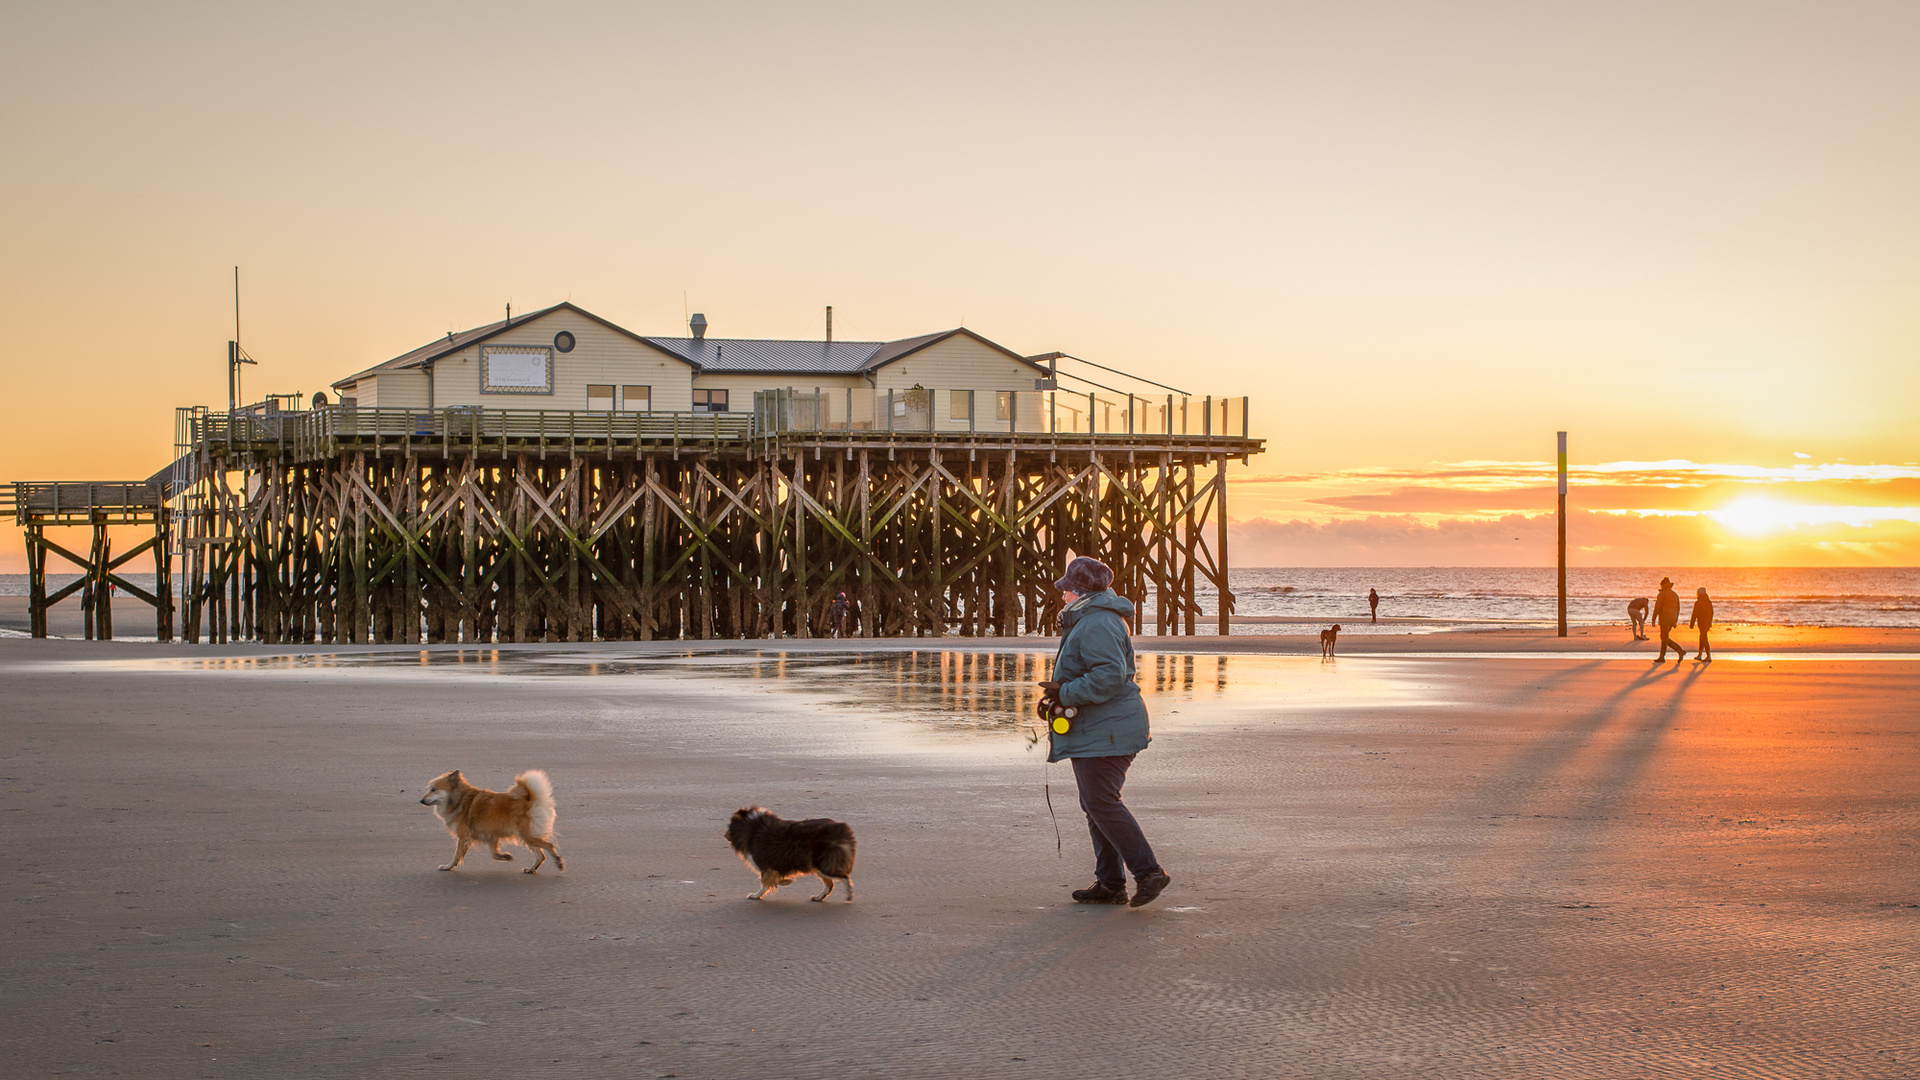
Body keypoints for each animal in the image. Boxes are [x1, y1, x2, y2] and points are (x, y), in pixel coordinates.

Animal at [418, 768, 560, 868]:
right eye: (429, 789)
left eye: (434, 789)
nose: (421, 801)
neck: (459, 800)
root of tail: (532, 800)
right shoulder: (491, 835)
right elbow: (494, 854)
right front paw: (504, 856)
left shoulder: (464, 837)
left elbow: (456, 855)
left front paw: (448, 867)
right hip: (526, 837)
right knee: (540, 855)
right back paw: (531, 869)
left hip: (527, 836)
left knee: (549, 845)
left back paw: (558, 861)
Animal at [721, 803, 860, 895]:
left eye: (729, 826)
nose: (724, 835)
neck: (751, 826)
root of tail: (844, 829)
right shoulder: (773, 866)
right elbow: (773, 879)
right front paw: (785, 881)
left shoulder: (766, 865)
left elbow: (765, 882)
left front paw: (756, 895)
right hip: (818, 866)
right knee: (830, 884)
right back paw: (818, 898)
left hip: (823, 865)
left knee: (843, 877)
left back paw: (848, 894)